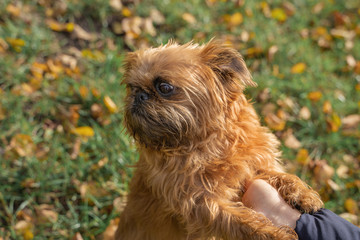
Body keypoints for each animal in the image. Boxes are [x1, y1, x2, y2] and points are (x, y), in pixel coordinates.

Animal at [116, 40, 324, 239]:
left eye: (164, 87)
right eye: (131, 88)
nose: (139, 95)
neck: (206, 144)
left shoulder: (252, 167)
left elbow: (279, 174)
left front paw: (304, 194)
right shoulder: (202, 204)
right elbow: (241, 221)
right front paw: (274, 234)